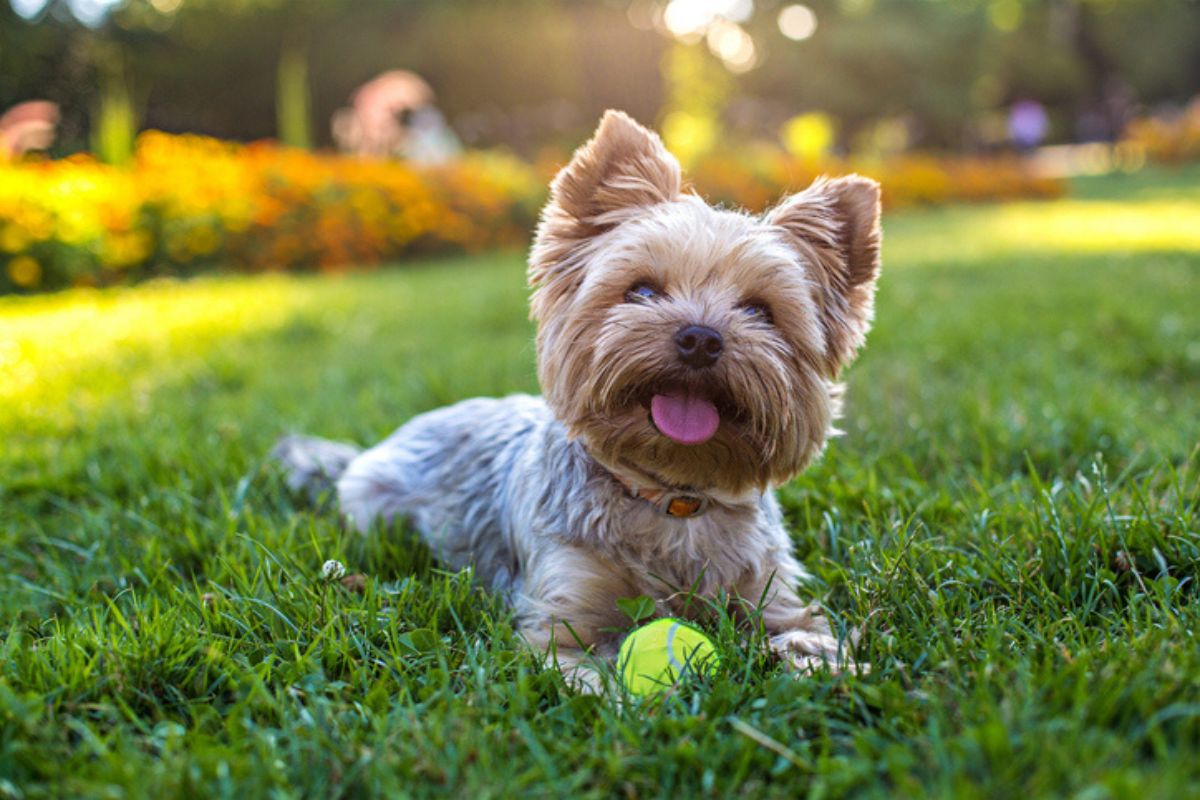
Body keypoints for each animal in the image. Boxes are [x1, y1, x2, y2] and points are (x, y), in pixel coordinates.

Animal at [274, 109, 883, 690]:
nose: (701, 337)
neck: (672, 498)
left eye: (760, 311)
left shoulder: (771, 592)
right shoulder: (562, 616)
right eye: (642, 290)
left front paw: (823, 668)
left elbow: (804, 632)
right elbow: (588, 672)